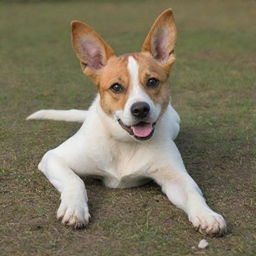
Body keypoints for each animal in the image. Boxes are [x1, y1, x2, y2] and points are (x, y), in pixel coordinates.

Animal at [27, 8, 226, 236]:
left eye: (152, 81)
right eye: (116, 87)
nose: (140, 109)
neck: (125, 143)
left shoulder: (175, 176)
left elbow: (193, 192)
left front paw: (207, 214)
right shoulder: (53, 158)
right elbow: (74, 181)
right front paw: (74, 208)